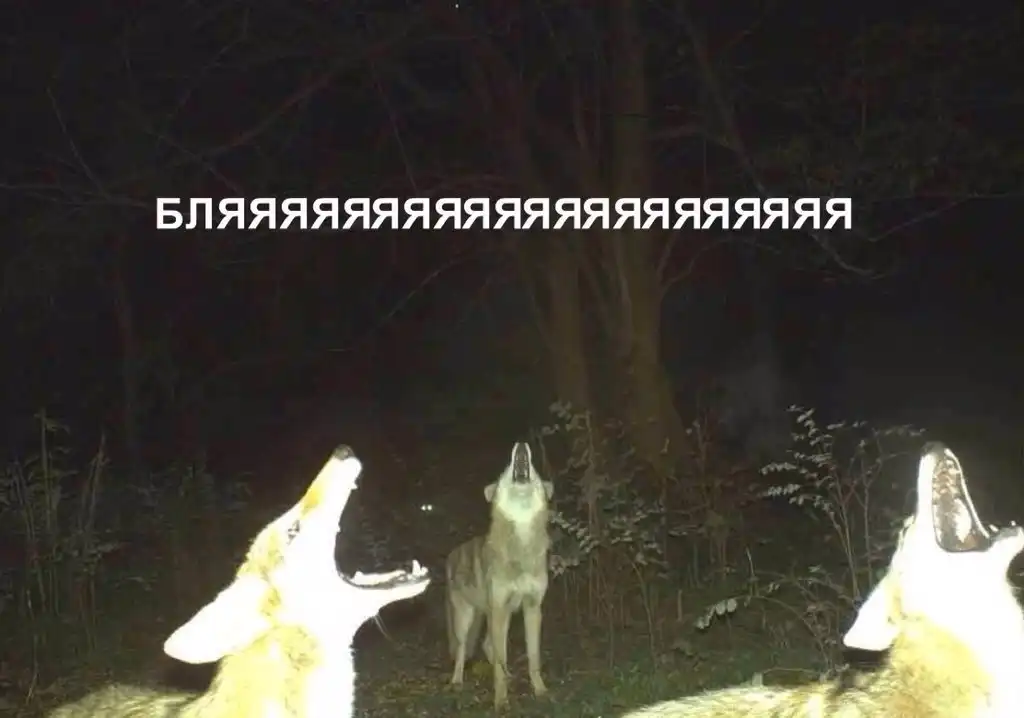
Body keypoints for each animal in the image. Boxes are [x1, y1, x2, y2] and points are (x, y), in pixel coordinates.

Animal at [445, 441, 554, 709]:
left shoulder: (532, 608)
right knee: (462, 649)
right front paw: (501, 701)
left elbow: (533, 657)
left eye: (534, 467)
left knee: (487, 645)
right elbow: (499, 660)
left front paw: (540, 690)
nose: (521, 445)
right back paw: (456, 681)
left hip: (497, 613)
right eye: (505, 467)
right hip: (466, 618)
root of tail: (451, 554)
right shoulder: (500, 608)